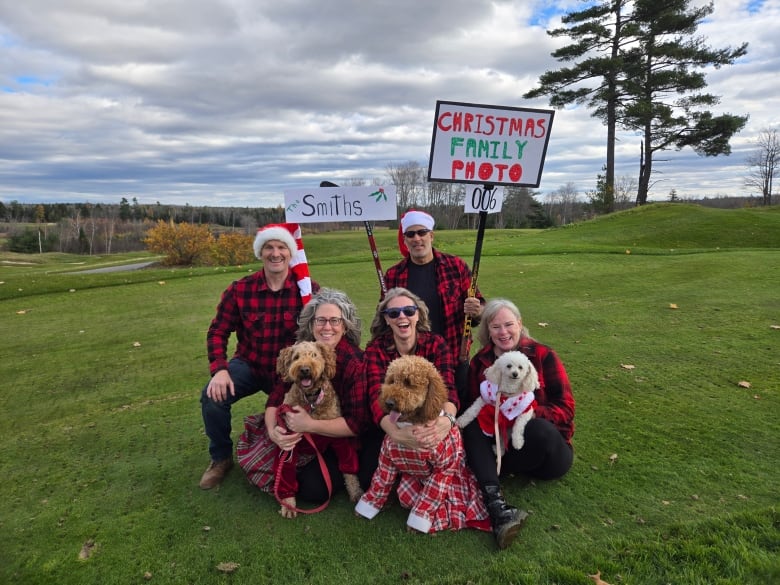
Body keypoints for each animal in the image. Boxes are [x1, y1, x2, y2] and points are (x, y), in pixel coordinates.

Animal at [274, 340, 362, 516]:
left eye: (314, 355)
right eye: (296, 357)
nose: (304, 369)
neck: (311, 401)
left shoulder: (339, 439)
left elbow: (349, 467)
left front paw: (355, 492)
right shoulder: (290, 442)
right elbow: (286, 472)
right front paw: (288, 504)